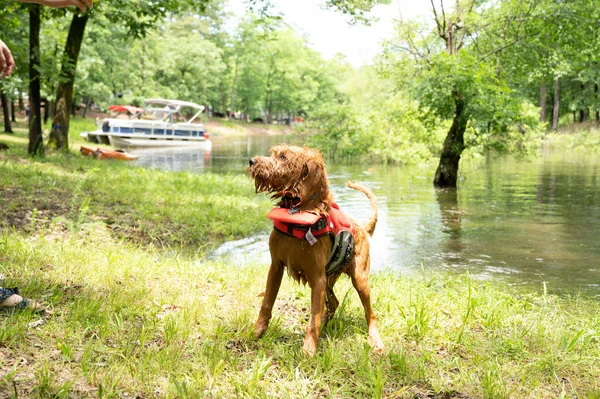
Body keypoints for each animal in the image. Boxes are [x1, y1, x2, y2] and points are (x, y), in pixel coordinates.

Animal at [248, 145, 384, 356]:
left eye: (283, 157)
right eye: (274, 153)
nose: (252, 161)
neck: (296, 214)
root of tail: (362, 227)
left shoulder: (317, 278)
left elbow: (314, 320)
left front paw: (309, 350)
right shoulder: (276, 267)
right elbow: (266, 304)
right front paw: (256, 332)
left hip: (359, 280)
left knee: (371, 314)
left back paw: (375, 340)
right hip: (329, 280)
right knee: (333, 303)